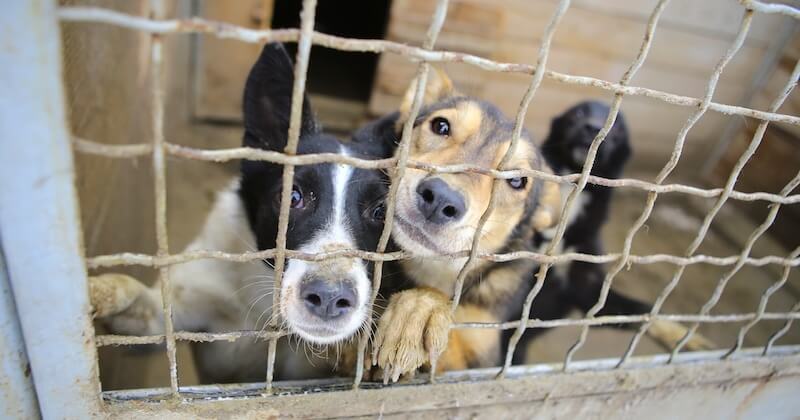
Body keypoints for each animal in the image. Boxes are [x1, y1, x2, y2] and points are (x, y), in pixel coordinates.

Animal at [88, 43, 396, 384]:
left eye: (381, 211)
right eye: (291, 196)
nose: (329, 297)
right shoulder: (165, 319)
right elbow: (139, 304)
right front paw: (96, 290)